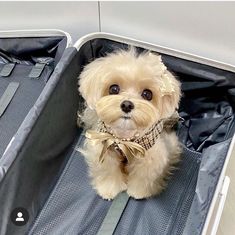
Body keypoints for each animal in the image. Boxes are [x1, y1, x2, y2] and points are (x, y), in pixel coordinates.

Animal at [78, 48, 181, 200]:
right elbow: (107, 171)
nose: (127, 105)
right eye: (113, 89)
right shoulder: (104, 146)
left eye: (147, 94)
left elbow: (143, 176)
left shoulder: (149, 156)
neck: (123, 138)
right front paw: (108, 189)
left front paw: (138, 192)